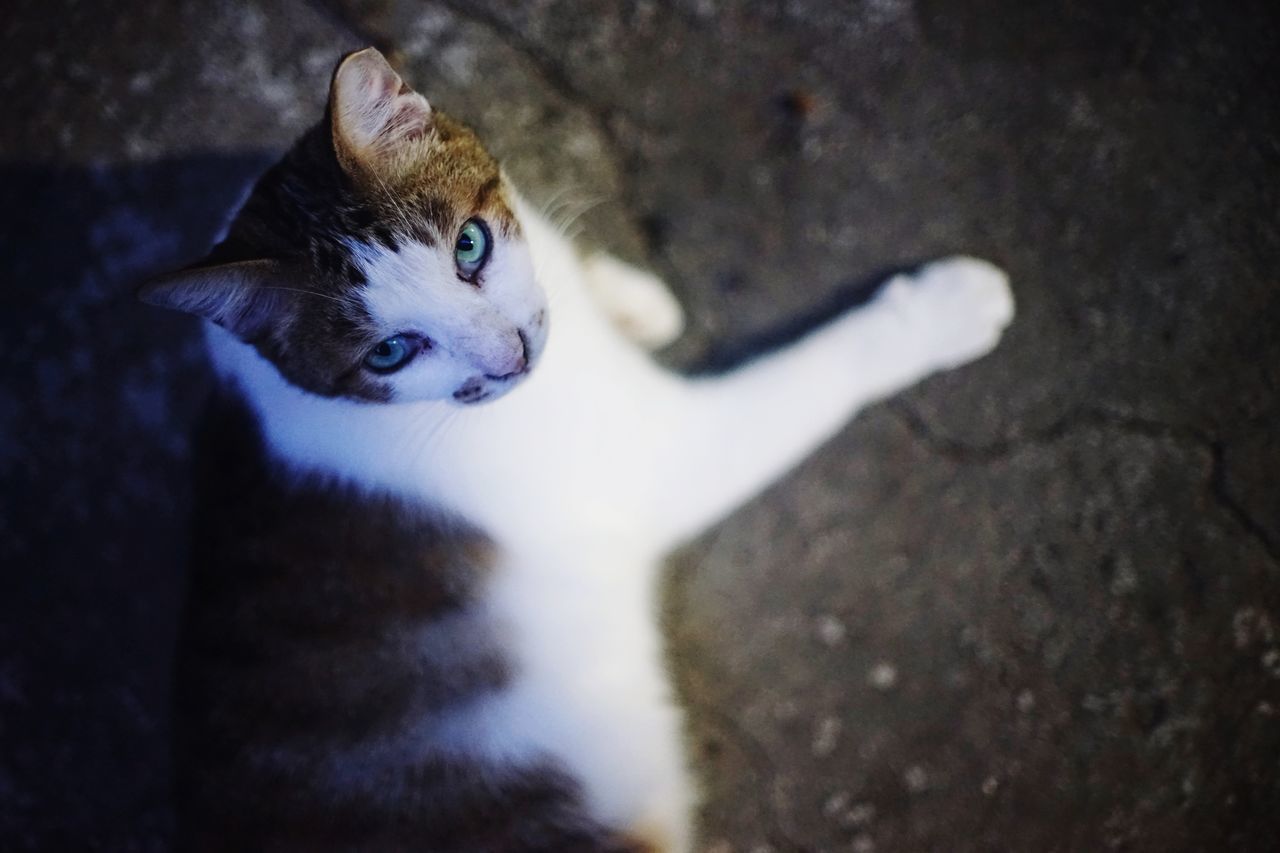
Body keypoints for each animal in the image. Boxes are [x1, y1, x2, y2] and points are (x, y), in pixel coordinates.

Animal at [140, 48, 1013, 850]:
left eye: (469, 247)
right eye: (388, 353)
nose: (512, 354)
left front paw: (625, 297)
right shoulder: (659, 456)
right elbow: (823, 370)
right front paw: (939, 310)